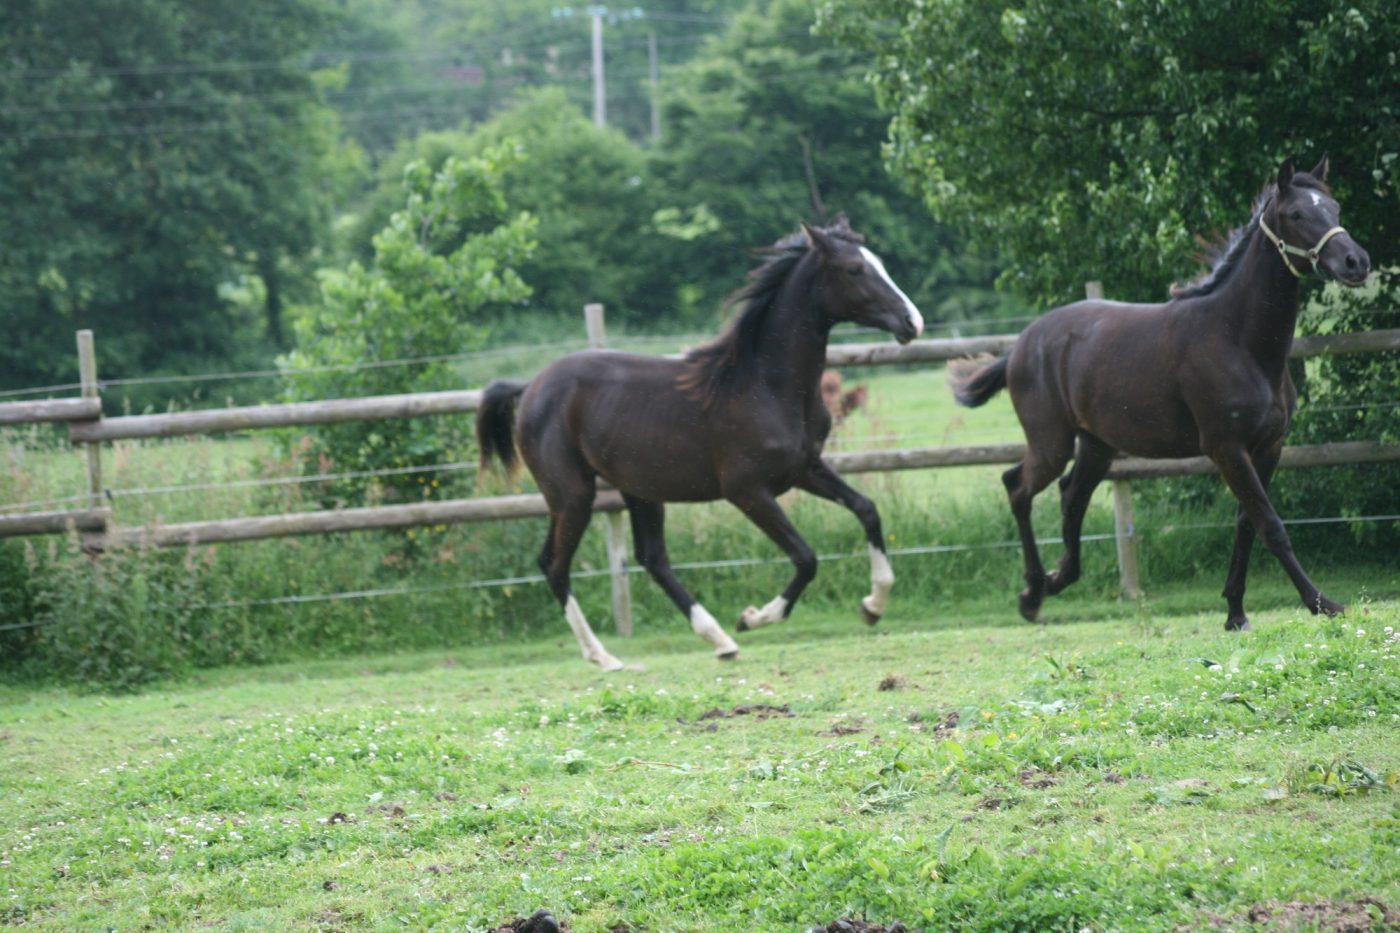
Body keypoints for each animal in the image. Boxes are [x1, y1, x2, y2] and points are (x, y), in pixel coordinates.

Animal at [476, 216, 924, 669]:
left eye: (878, 263)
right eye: (854, 269)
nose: (913, 322)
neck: (765, 386)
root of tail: (530, 386)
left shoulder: (805, 469)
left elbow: (867, 510)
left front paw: (872, 606)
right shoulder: (746, 491)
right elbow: (806, 557)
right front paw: (753, 617)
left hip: (640, 490)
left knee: (650, 558)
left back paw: (718, 640)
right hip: (572, 495)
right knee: (555, 565)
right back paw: (605, 656)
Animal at [950, 156, 1370, 631]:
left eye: (1334, 208)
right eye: (1297, 214)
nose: (1356, 261)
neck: (1239, 340)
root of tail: (1020, 345)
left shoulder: (1268, 446)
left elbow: (1247, 522)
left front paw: (1235, 611)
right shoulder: (1226, 448)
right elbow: (1271, 525)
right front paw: (1322, 603)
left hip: (1096, 445)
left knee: (1071, 495)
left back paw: (1057, 579)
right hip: (1051, 443)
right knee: (1018, 487)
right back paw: (1033, 592)